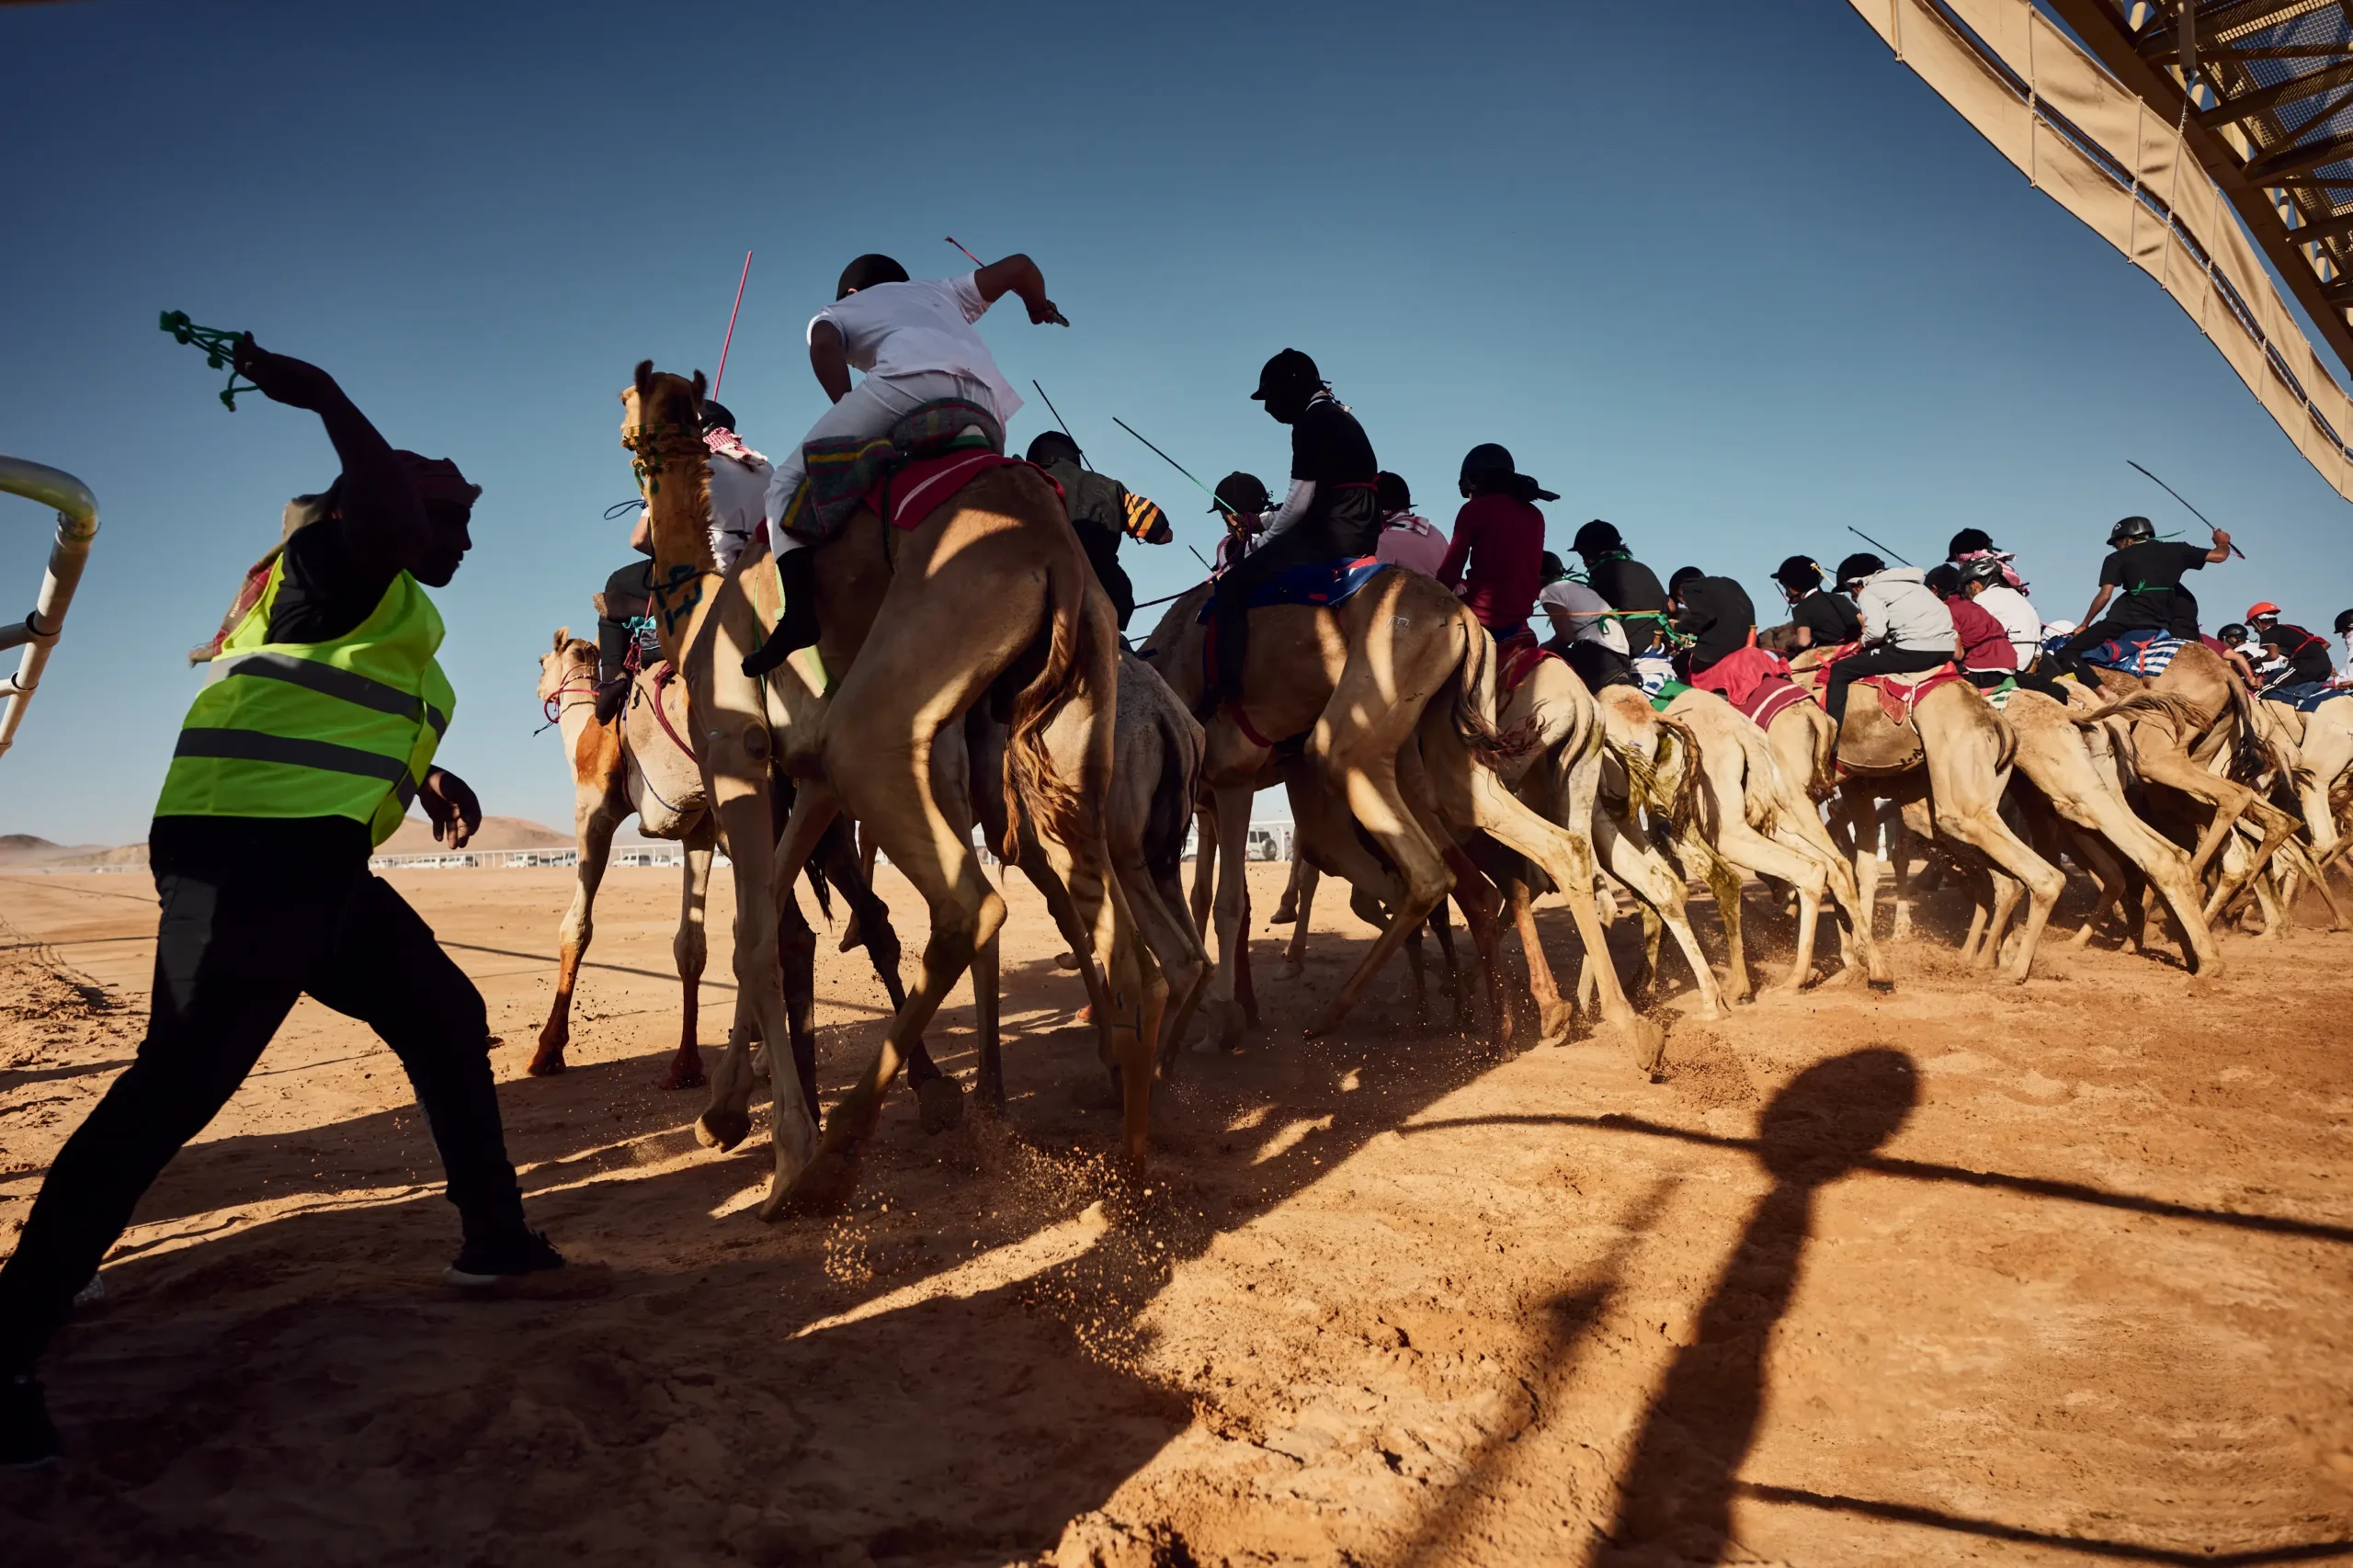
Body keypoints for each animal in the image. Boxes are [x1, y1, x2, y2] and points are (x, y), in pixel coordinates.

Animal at [625, 362, 1148, 1205]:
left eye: (626, 403)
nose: (634, 526)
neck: (701, 612)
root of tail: (1055, 549)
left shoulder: (736, 751)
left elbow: (760, 934)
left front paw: (783, 1140)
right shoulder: (809, 780)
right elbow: (764, 923)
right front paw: (726, 1111)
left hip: (891, 729)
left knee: (975, 906)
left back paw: (835, 1159)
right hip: (1057, 734)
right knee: (1092, 915)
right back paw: (1124, 1151)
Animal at [1143, 567, 1675, 1068]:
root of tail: (1461, 619)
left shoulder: (1231, 778)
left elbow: (1228, 903)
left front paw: (1220, 1022)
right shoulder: (1207, 800)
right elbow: (1199, 895)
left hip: (1359, 732)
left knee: (1430, 876)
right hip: (1462, 763)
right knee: (1558, 855)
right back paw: (1603, 1022)